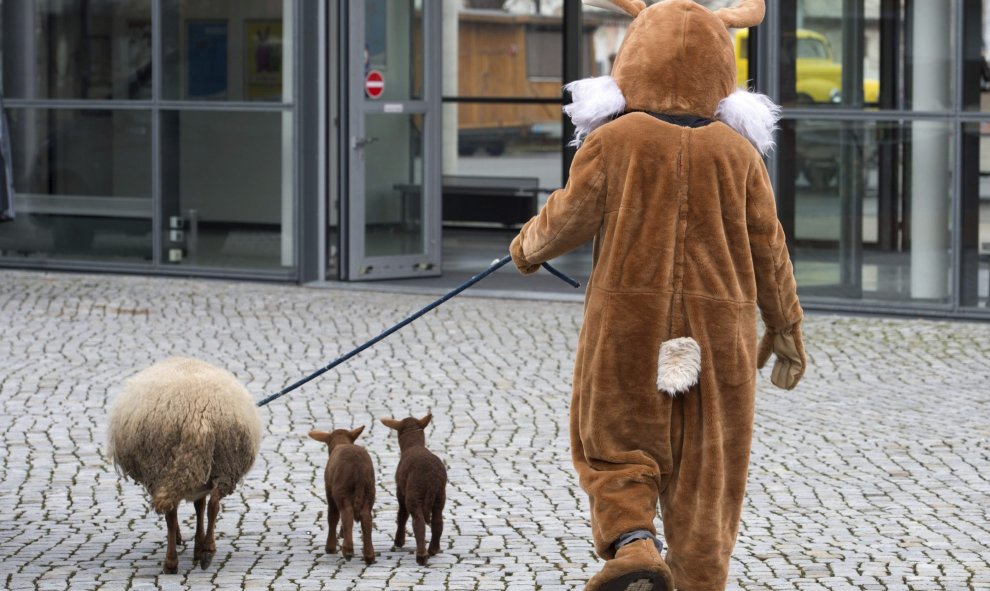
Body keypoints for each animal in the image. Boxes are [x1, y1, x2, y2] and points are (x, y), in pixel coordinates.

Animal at [108, 356, 264, 572]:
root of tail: (198, 419)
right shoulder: (201, 479)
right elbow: (200, 507)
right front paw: (198, 547)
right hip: (225, 466)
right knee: (213, 505)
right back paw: (207, 551)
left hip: (159, 466)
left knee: (171, 514)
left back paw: (171, 562)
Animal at [308, 426, 378, 564]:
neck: (341, 442)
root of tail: (358, 467)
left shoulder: (329, 490)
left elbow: (333, 516)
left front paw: (330, 548)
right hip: (369, 490)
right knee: (366, 517)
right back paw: (369, 555)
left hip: (341, 490)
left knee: (347, 514)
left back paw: (348, 550)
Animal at [378, 414, 448, 568]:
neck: (413, 444)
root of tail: (431, 477)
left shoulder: (400, 491)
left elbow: (402, 515)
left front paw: (399, 541)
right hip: (440, 495)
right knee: (438, 522)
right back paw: (433, 550)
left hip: (414, 495)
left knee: (418, 523)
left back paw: (421, 556)